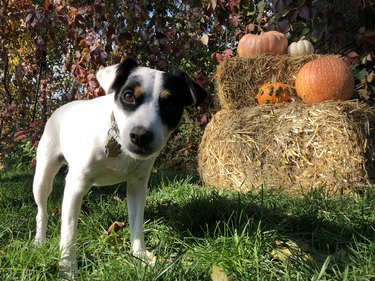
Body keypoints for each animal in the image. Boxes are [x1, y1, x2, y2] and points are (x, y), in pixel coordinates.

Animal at [32, 58, 207, 274]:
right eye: (128, 95)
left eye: (172, 103)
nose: (140, 136)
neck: (118, 145)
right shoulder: (75, 185)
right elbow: (69, 232)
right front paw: (68, 268)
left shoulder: (137, 187)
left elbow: (137, 225)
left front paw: (141, 256)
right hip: (42, 178)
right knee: (42, 212)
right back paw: (39, 241)